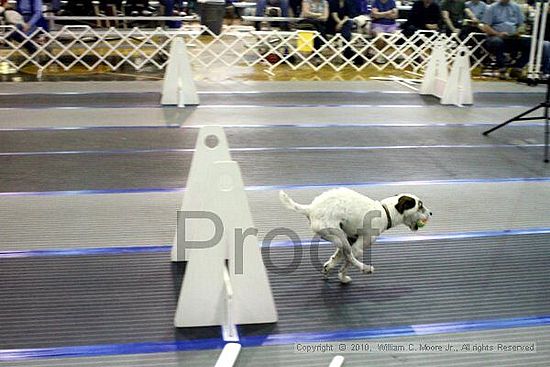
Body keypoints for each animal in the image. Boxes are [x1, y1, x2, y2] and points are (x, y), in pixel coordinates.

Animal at [282, 190, 434, 284]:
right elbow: (345, 264)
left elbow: (336, 258)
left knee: (343, 253)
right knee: (349, 256)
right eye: (420, 206)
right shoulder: (358, 245)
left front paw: (328, 267)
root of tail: (310, 208)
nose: (431, 213)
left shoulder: (351, 239)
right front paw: (342, 277)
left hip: (341, 238)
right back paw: (366, 268)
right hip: (339, 236)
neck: (386, 212)